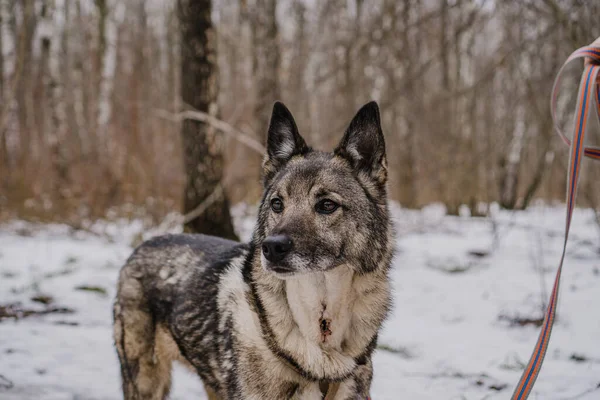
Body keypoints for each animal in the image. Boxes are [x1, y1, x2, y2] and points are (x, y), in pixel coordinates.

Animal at [113, 99, 394, 396]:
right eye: (277, 204)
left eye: (327, 205)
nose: (271, 248)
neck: (321, 318)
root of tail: (145, 244)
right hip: (146, 382)